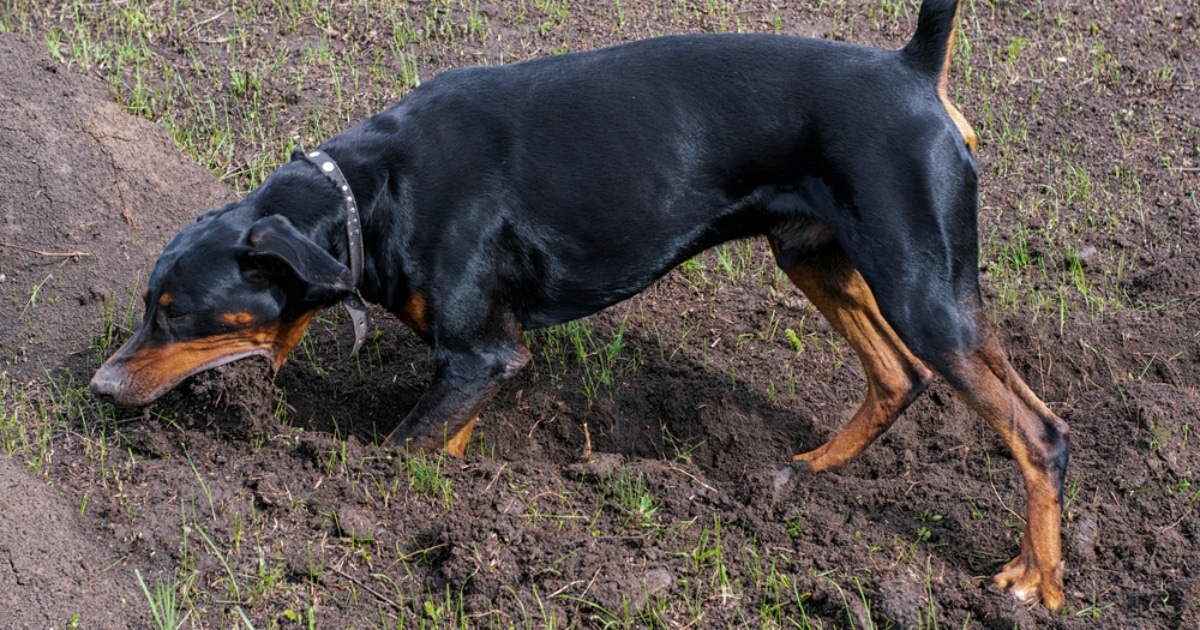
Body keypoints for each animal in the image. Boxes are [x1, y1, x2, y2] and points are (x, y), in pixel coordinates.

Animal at [91, 0, 1070, 609]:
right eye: (148, 300)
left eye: (175, 311)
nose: (99, 387)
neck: (364, 197)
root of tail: (914, 72)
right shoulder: (472, 365)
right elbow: (446, 446)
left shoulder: (484, 355)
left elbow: (398, 450)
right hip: (816, 256)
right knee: (898, 377)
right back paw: (802, 477)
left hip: (921, 284)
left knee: (1040, 431)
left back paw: (1037, 581)